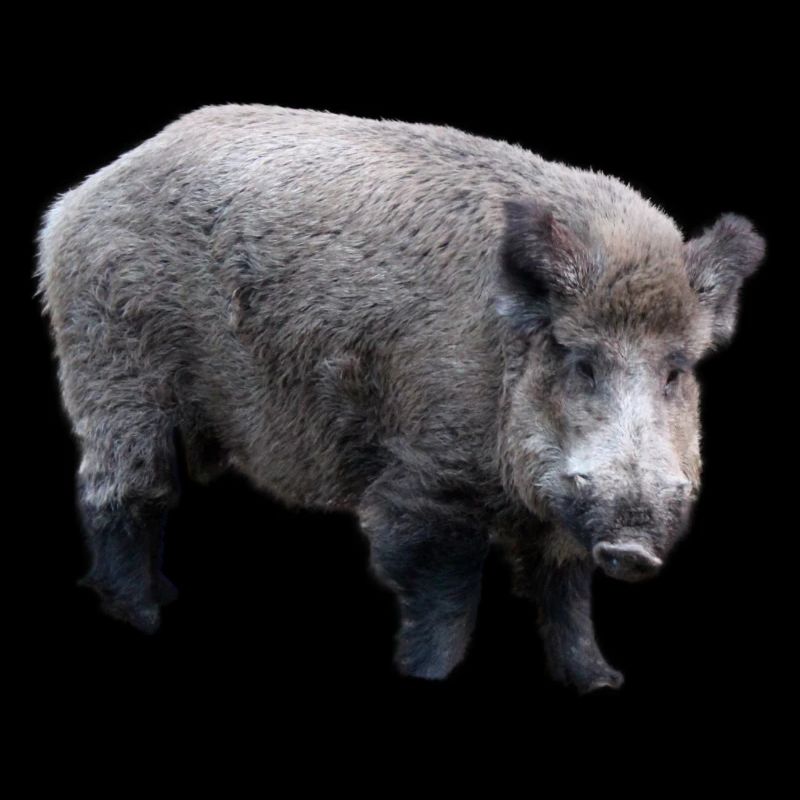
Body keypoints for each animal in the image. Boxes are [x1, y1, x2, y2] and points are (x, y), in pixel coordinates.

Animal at [34, 104, 766, 692]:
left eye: (675, 371)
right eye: (580, 362)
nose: (633, 550)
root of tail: (70, 207)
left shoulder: (556, 513)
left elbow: (565, 590)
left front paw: (601, 683)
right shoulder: (426, 476)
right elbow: (445, 594)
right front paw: (426, 676)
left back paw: (160, 594)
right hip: (114, 371)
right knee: (123, 488)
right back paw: (144, 616)